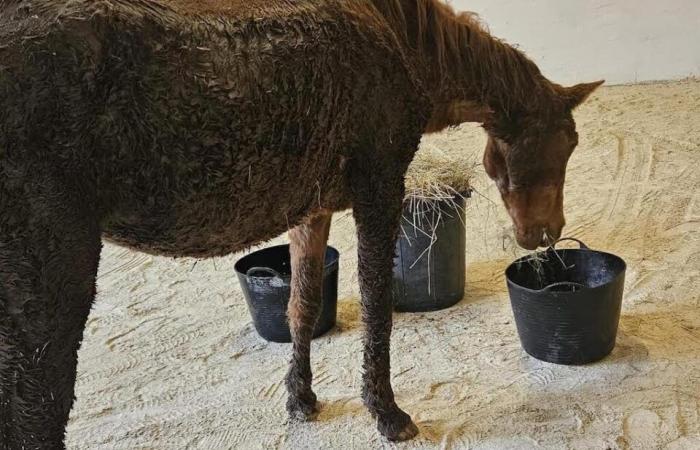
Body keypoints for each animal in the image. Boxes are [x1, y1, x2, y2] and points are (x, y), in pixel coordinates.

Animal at [0, 0, 600, 444]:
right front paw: (387, 414)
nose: (546, 235)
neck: (402, 41)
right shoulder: (379, 185)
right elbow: (378, 306)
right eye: (567, 143)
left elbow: (302, 306)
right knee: (36, 403)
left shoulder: (311, 209)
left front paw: (301, 398)